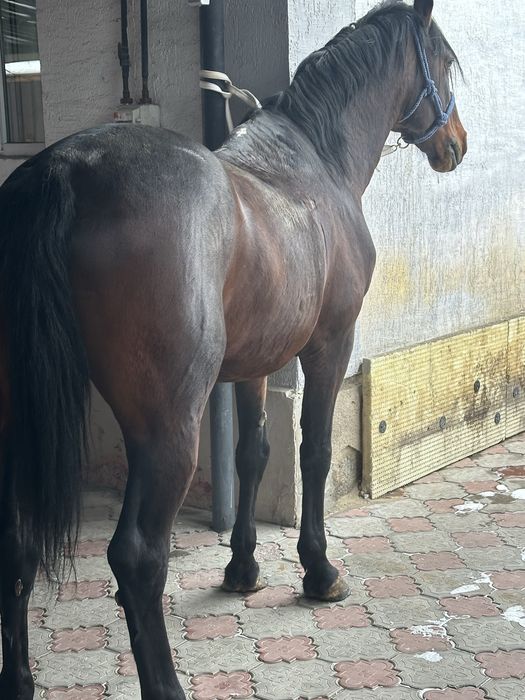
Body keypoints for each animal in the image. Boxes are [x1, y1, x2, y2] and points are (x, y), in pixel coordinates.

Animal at [0, 0, 466, 697]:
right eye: (444, 60)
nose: (455, 144)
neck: (316, 165)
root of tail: (65, 167)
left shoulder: (255, 364)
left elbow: (253, 453)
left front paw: (242, 567)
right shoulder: (328, 347)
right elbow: (314, 451)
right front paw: (319, 571)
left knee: (16, 543)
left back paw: (19, 680)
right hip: (167, 431)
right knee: (137, 557)